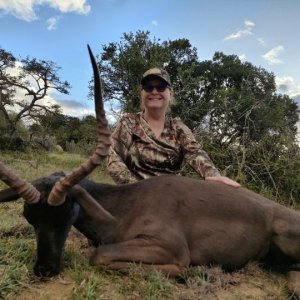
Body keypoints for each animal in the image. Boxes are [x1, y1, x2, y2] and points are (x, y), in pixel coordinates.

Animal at [0, 45, 300, 296]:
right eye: (30, 217)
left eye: (65, 213)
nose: (44, 269)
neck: (125, 207)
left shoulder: (168, 247)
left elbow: (99, 255)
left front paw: (191, 272)